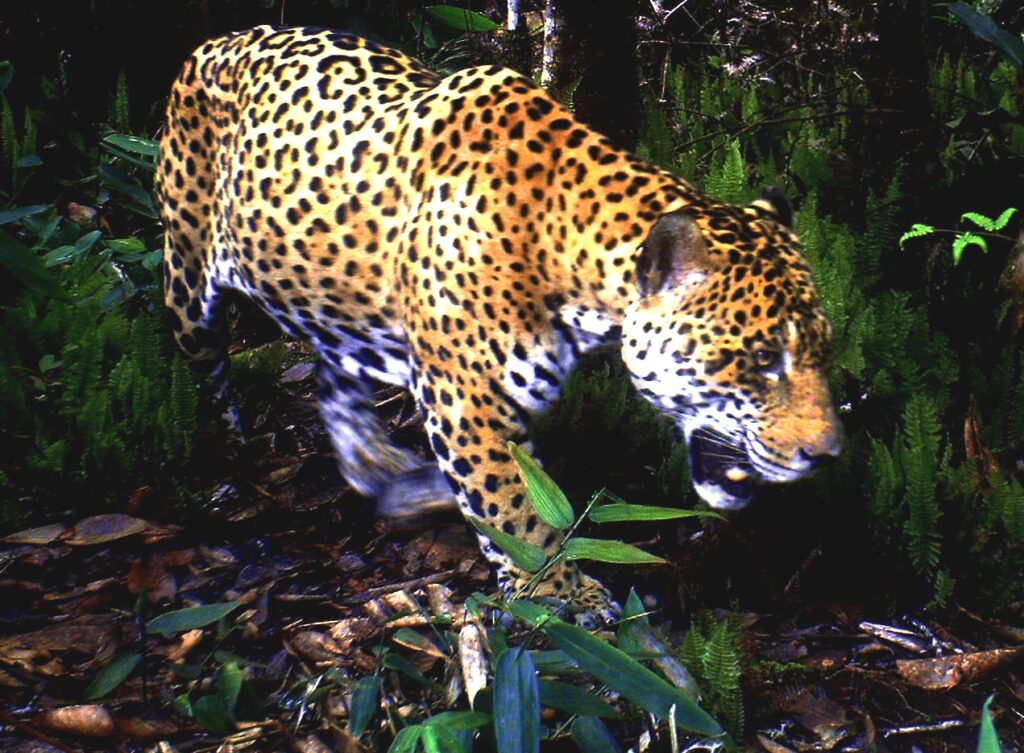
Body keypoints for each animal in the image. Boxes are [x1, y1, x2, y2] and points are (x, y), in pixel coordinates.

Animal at [159, 25, 843, 623]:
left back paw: (389, 473)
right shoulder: (469, 404)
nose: (828, 456)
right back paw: (235, 465)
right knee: (212, 375)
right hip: (187, 289)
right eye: (761, 360)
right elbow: (518, 511)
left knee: (335, 374)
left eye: (822, 354)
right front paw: (563, 596)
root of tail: (218, 40)